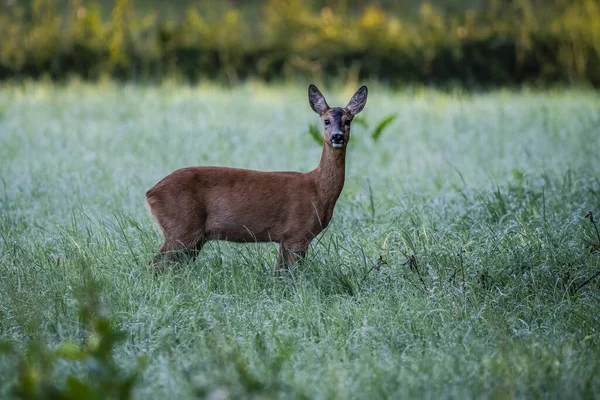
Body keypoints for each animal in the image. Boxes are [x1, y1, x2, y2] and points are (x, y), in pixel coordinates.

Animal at [148, 83, 368, 274]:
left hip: (193, 236)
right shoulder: (296, 233)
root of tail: (150, 193)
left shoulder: (287, 238)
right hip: (182, 227)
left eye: (348, 121)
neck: (318, 190)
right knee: (156, 264)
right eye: (326, 121)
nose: (337, 137)